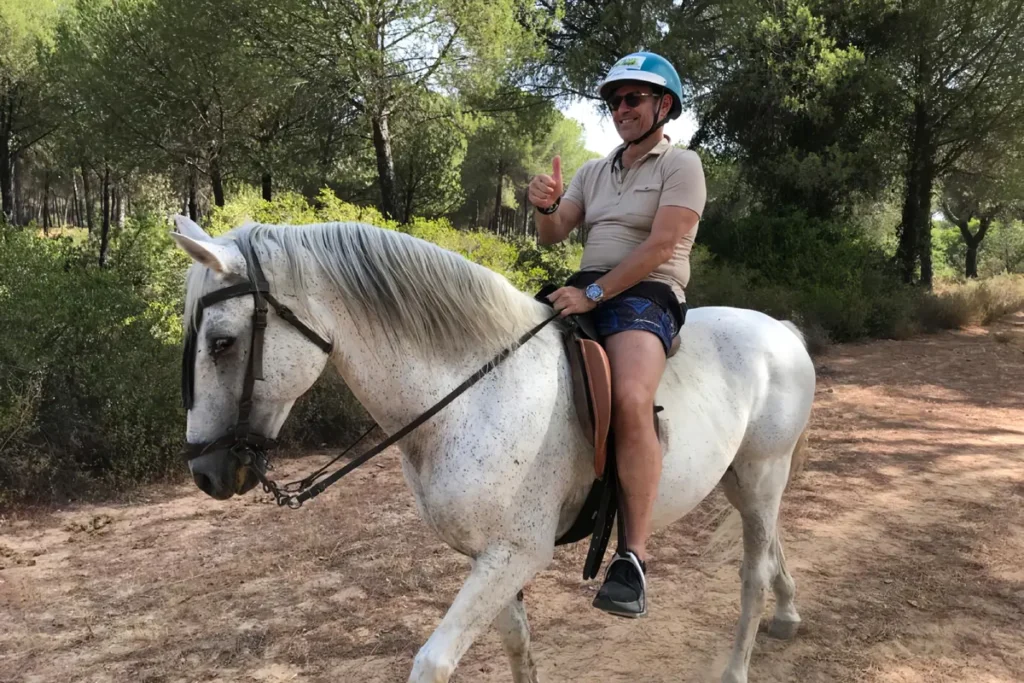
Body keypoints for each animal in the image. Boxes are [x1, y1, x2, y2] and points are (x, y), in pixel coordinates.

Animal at [171, 214, 815, 683]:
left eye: (222, 343)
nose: (205, 471)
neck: (477, 390)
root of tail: (780, 330)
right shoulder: (489, 557)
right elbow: (516, 645)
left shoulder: (516, 554)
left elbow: (434, 663)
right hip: (739, 478)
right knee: (772, 544)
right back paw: (788, 613)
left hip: (762, 473)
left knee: (753, 572)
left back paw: (737, 665)